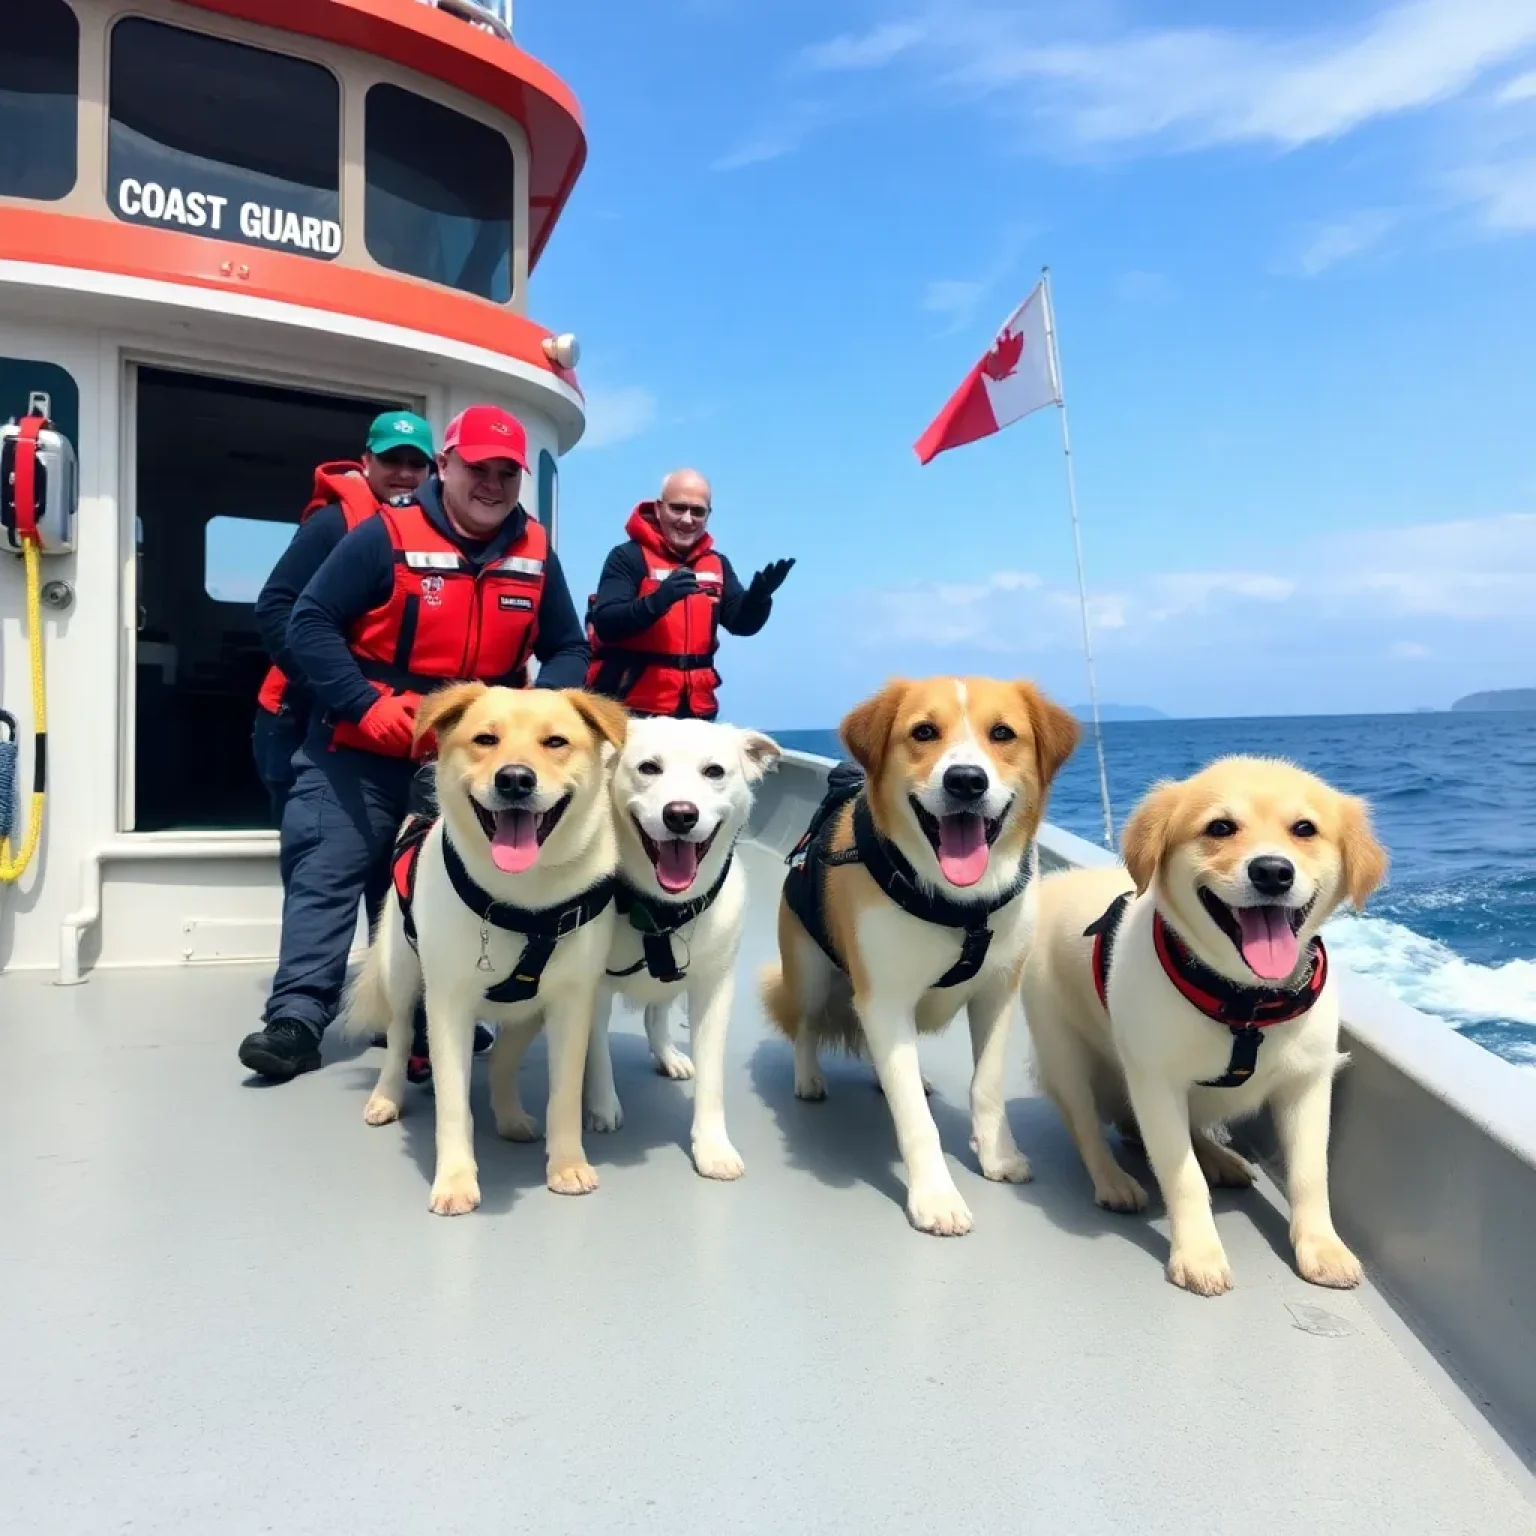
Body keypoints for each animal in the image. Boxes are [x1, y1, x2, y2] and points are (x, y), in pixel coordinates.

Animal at [345, 685, 626, 1210]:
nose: (515, 779)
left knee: (502, 1061)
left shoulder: (571, 1003)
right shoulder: (448, 1005)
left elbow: (564, 1096)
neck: (524, 898)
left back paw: (511, 1118)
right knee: (398, 1039)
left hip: (528, 1012)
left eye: (555, 742)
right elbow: (454, 1104)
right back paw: (386, 1097)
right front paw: (456, 1181)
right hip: (403, 976)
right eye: (484, 739)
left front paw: (567, 1166)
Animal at [758, 672, 1075, 1234]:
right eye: (924, 731)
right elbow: (916, 1121)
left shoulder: (996, 994)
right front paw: (935, 1196)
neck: (960, 903)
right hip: (809, 974)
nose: (966, 781)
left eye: (1003, 733)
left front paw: (998, 1156)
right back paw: (809, 1078)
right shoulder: (885, 999)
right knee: (806, 1026)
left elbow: (986, 1085)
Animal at [1019, 755, 1394, 1296]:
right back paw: (1114, 1180)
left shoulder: (1307, 1082)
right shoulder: (1154, 1083)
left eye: (1305, 829)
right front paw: (1198, 1254)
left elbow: (1309, 1173)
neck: (1245, 1000)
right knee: (1086, 1125)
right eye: (1220, 827)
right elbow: (1182, 1177)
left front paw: (1322, 1248)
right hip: (1063, 1053)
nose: (1272, 871)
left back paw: (1219, 1159)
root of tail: (1055, 883)